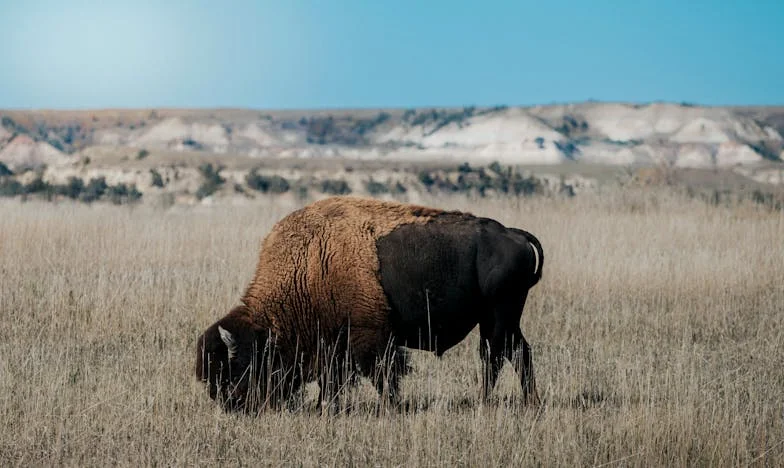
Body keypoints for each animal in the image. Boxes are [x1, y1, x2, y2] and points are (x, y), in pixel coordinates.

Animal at [194, 196, 544, 412]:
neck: (311, 264)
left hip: (499, 317)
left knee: (499, 356)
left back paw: (491, 401)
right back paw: (524, 402)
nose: (231, 405)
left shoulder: (369, 339)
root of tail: (513, 234)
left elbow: (380, 375)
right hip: (499, 320)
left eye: (235, 367)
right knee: (512, 354)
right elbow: (334, 379)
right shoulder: (335, 344)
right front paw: (325, 407)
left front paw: (390, 407)